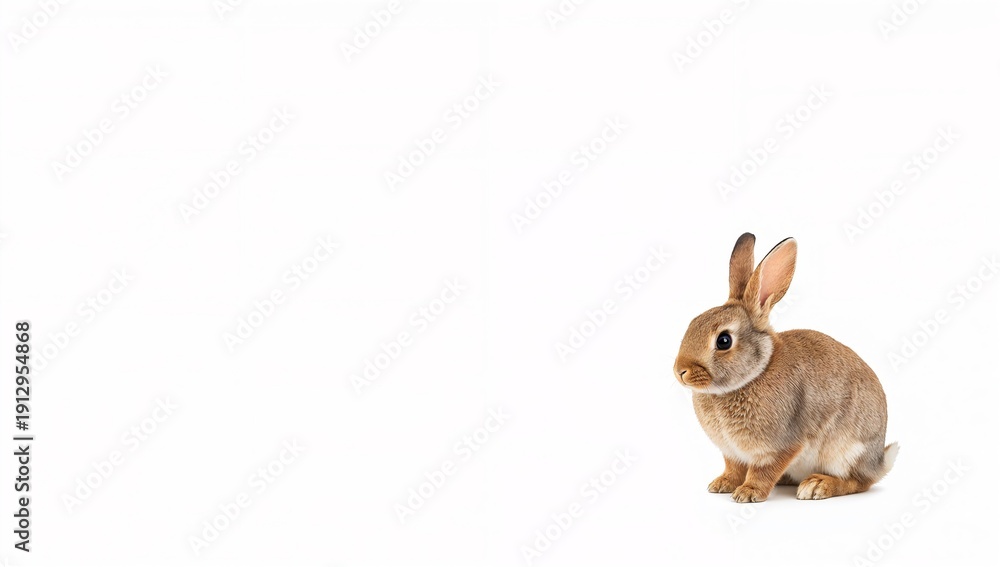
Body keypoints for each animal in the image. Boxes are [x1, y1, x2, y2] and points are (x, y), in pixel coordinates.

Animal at [673, 233, 897, 502]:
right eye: (693, 322)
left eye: (723, 341)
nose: (680, 371)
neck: (755, 373)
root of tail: (879, 462)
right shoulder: (732, 452)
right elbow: (733, 467)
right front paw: (721, 484)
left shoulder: (780, 446)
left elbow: (764, 471)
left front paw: (748, 493)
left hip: (847, 452)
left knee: (858, 482)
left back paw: (817, 485)